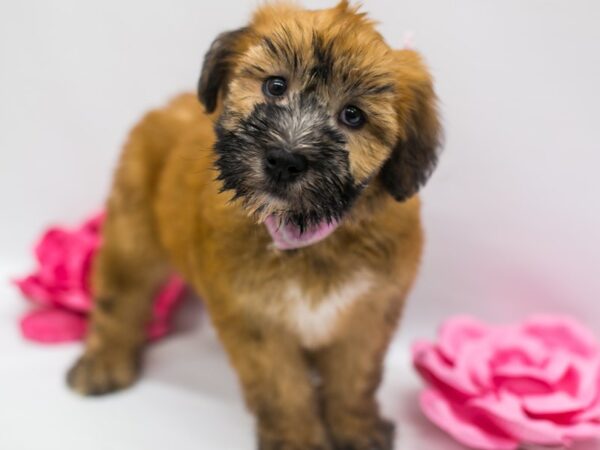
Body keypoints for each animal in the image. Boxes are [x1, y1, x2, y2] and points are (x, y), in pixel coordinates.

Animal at [67, 1, 440, 448]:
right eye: (275, 86)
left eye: (353, 116)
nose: (284, 160)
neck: (306, 231)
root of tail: (169, 106)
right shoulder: (255, 320)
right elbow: (282, 388)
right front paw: (298, 438)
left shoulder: (368, 314)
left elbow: (353, 379)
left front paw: (356, 427)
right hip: (133, 231)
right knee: (120, 297)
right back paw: (103, 362)